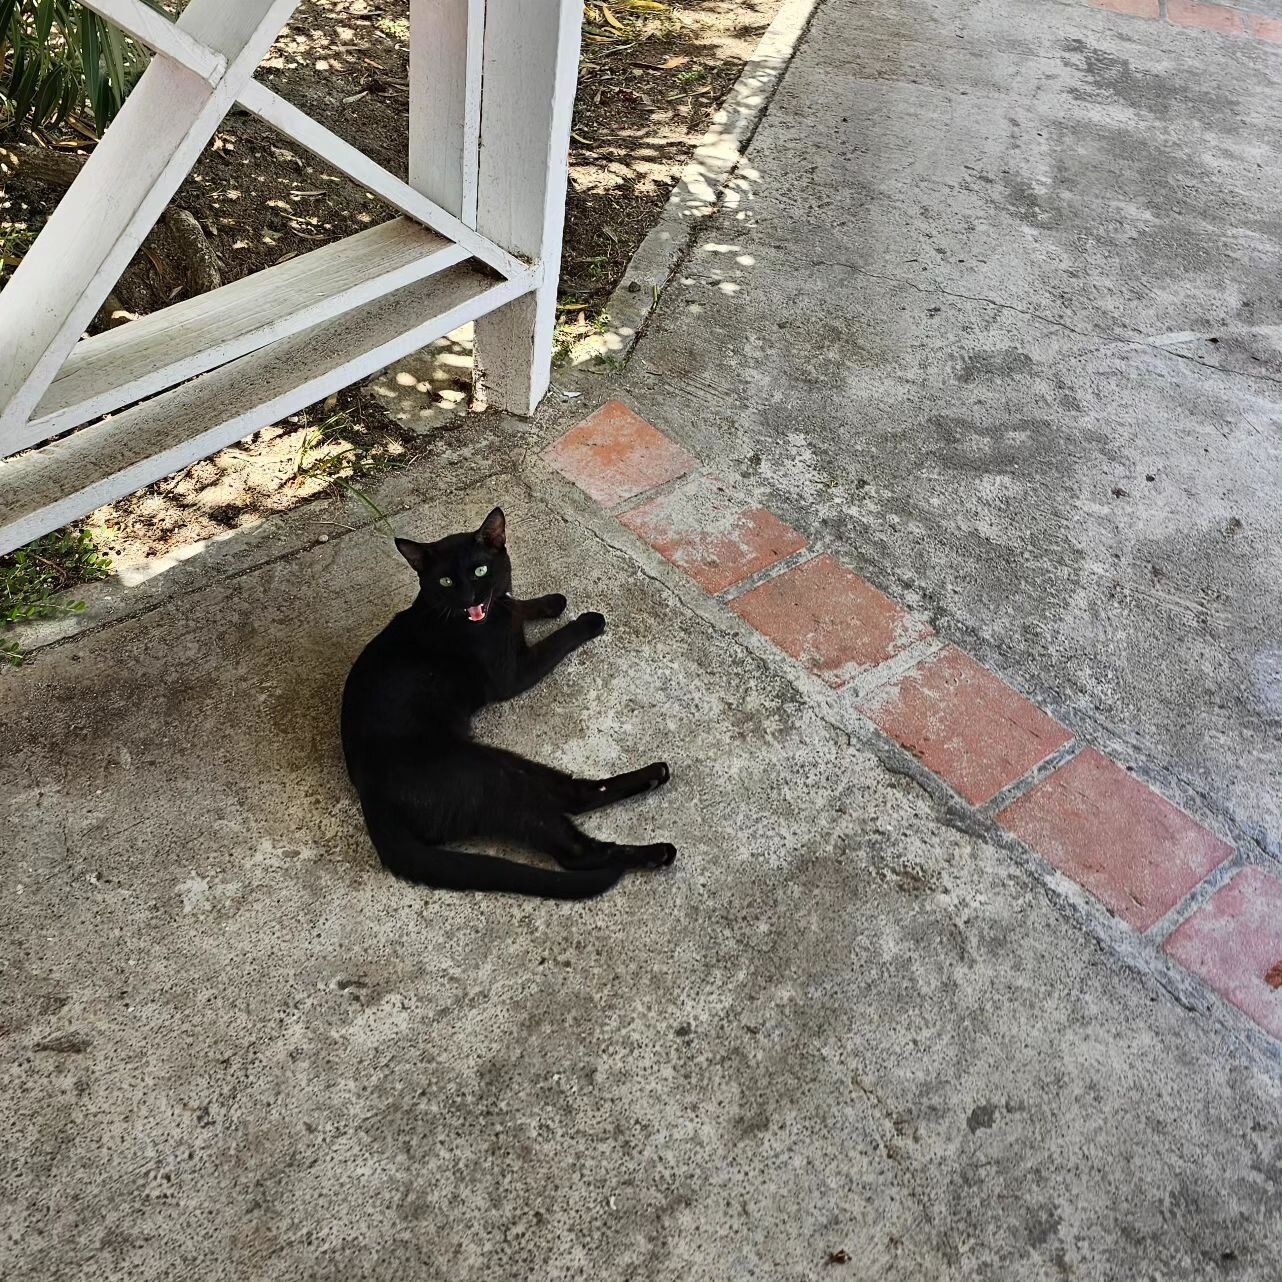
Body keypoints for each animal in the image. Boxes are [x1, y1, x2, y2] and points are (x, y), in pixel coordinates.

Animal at [341, 505, 682, 897]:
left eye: (480, 570)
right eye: (445, 582)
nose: (470, 598)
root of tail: (371, 799)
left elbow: (513, 602)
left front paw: (549, 602)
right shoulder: (515, 674)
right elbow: (553, 641)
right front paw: (586, 622)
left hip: (507, 763)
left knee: (575, 794)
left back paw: (653, 775)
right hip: (491, 781)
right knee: (575, 853)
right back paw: (655, 853)